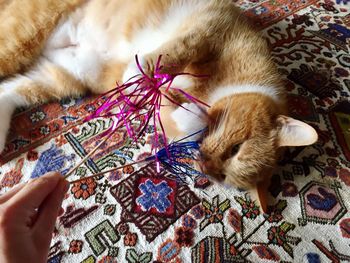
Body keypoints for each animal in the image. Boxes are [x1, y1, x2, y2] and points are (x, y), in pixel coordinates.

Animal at [0, 0, 318, 190]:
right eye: (236, 148)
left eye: (224, 176)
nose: (206, 165)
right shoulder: (210, 24)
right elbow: (173, 53)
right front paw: (138, 73)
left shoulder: (165, 112)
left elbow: (186, 123)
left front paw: (195, 118)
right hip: (22, 37)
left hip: (64, 76)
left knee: (9, 91)